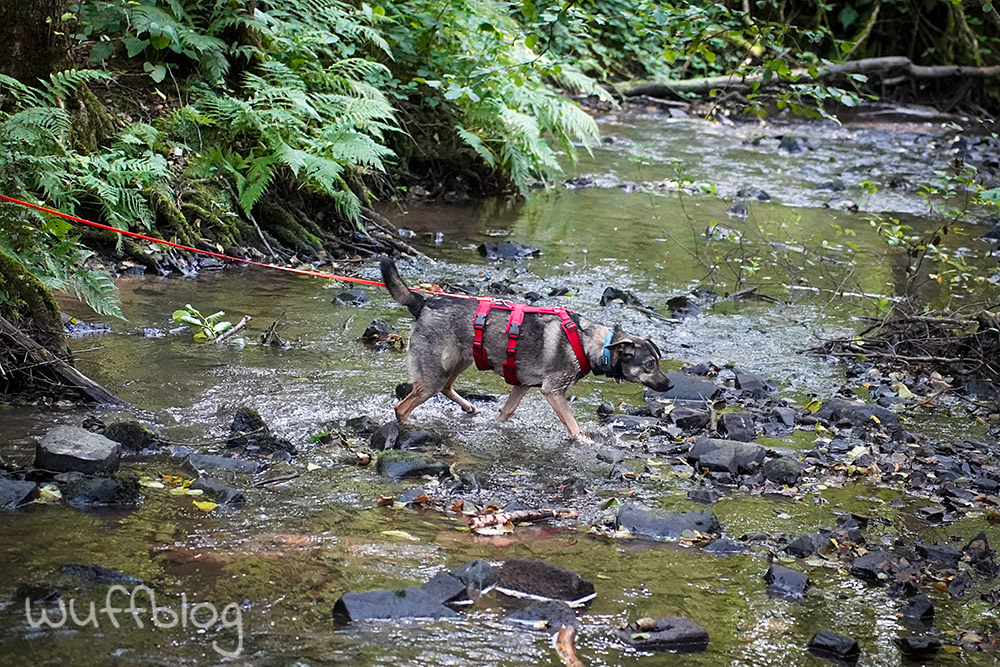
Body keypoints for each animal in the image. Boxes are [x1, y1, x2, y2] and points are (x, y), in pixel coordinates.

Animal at [380, 258, 672, 440]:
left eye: (658, 361)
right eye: (650, 365)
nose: (670, 385)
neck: (592, 344)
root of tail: (423, 303)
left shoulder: (521, 385)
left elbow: (506, 412)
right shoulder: (553, 392)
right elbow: (572, 425)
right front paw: (584, 442)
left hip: (461, 361)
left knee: (447, 387)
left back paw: (469, 408)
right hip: (433, 376)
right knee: (402, 408)